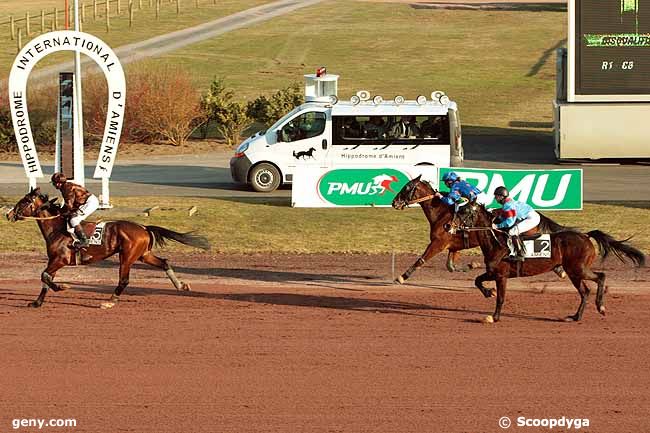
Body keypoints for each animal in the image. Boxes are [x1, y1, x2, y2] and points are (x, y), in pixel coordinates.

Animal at [7, 187, 210, 308]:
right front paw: (37, 302)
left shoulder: (60, 260)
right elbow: (46, 279)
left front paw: (63, 287)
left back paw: (111, 301)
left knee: (124, 280)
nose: (9, 214)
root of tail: (144, 227)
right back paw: (181, 285)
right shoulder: (54, 260)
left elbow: (44, 276)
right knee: (165, 263)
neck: (57, 228)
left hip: (127, 256)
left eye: (24, 201)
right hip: (143, 255)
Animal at [390, 176, 568, 284]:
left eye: (407, 188)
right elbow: (450, 266)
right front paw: (471, 265)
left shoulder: (438, 243)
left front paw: (402, 277)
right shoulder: (453, 246)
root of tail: (536, 215)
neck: (442, 214)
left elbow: (421, 259)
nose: (394, 203)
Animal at [448, 199, 644, 320]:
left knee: (600, 277)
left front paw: (494, 317)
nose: (447, 225)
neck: (496, 242)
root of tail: (586, 236)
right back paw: (575, 316)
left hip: (577, 269)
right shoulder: (492, 272)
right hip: (574, 272)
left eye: (464, 211)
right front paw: (489, 292)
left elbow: (501, 298)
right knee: (585, 291)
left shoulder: (501, 275)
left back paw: (600, 307)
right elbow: (477, 280)